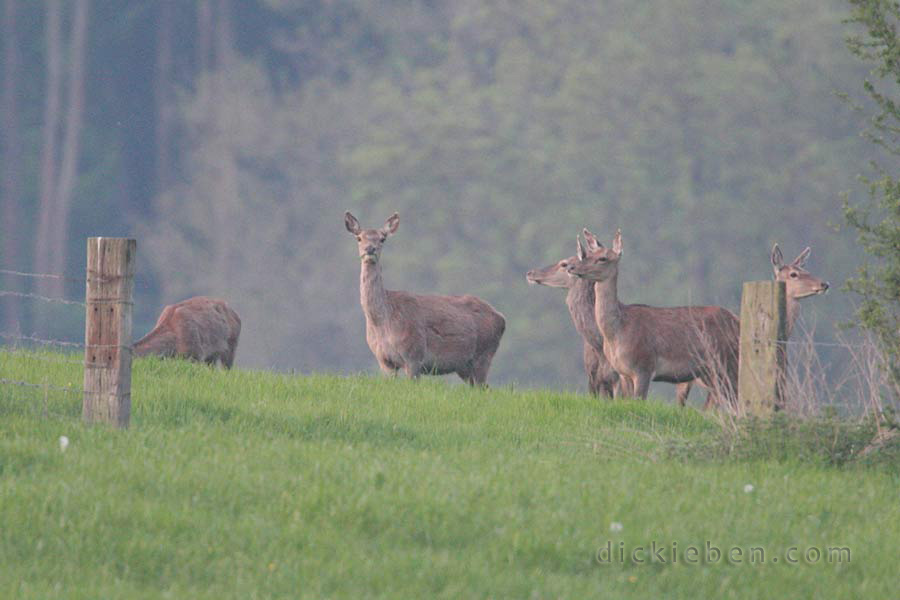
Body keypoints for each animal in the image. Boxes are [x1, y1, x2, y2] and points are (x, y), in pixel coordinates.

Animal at [344, 213, 506, 386]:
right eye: (359, 238)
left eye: (382, 239)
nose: (370, 249)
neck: (382, 322)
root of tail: (501, 318)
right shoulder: (384, 361)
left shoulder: (414, 355)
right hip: (464, 366)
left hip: (483, 355)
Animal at [568, 230, 740, 404]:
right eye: (587, 255)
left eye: (603, 258)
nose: (571, 267)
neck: (616, 333)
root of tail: (737, 321)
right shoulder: (623, 373)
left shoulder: (644, 366)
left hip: (727, 362)